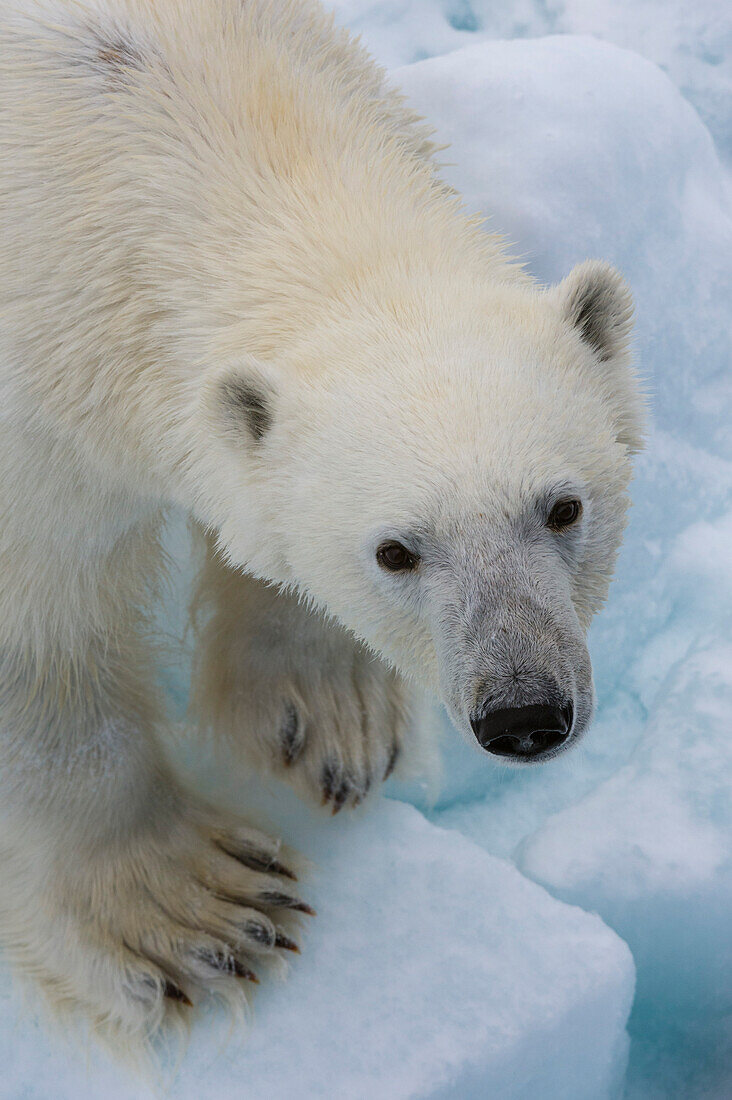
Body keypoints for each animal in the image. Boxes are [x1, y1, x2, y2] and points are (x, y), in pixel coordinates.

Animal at [0, 0, 638, 1047]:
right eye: (396, 550)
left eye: (563, 506)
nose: (524, 714)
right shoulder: (38, 421)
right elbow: (40, 645)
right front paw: (189, 913)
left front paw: (332, 715)